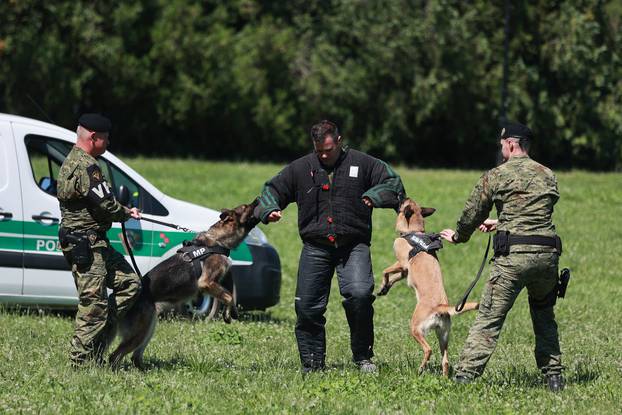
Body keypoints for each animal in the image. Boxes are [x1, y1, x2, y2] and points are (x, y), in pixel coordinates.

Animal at [108, 200, 260, 368]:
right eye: (246, 207)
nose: (258, 200)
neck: (219, 241)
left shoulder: (215, 284)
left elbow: (227, 294)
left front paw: (228, 314)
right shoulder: (206, 283)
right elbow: (228, 296)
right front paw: (231, 313)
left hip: (149, 326)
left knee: (134, 356)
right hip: (140, 331)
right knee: (115, 355)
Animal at [378, 198, 480, 376]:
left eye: (403, 200)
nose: (401, 196)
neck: (415, 231)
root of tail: (441, 307)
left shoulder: (401, 263)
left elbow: (386, 271)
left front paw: (384, 283)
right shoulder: (405, 271)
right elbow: (395, 277)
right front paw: (385, 287)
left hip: (416, 329)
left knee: (428, 349)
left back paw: (420, 369)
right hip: (444, 335)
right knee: (445, 360)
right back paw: (444, 378)